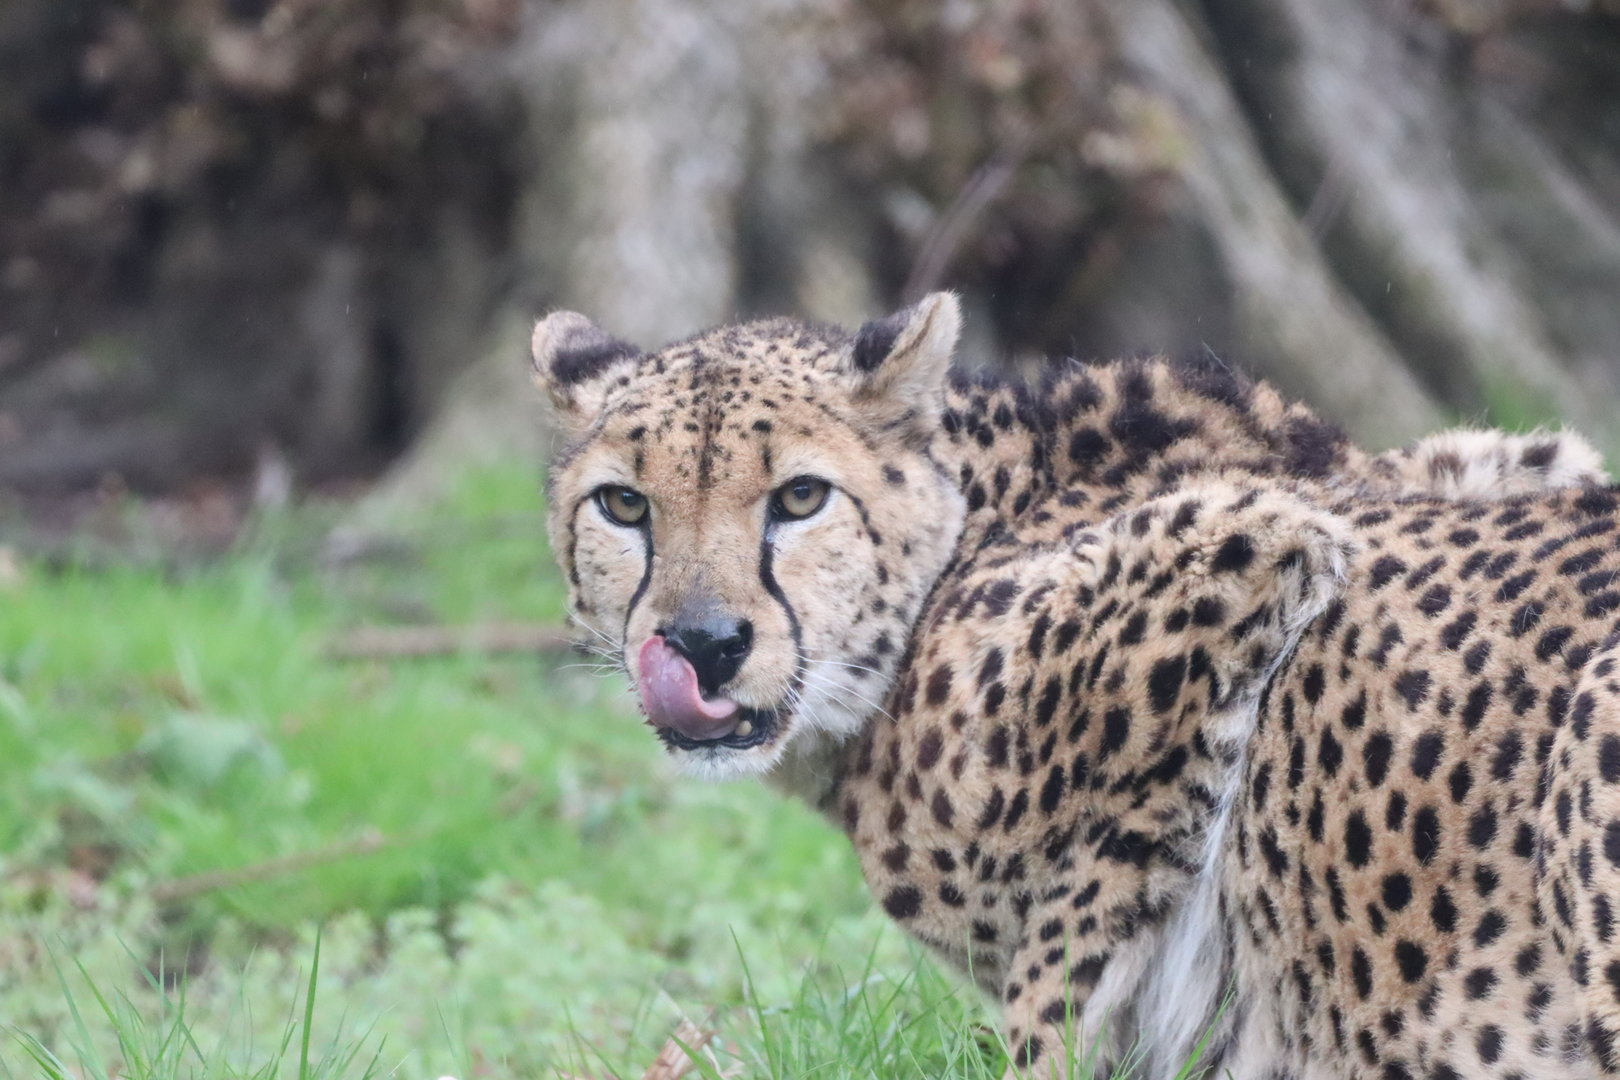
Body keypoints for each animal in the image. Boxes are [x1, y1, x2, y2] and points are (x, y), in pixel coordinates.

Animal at [531, 291, 1619, 1079]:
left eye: (800, 496)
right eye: (624, 505)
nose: (703, 645)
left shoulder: (1242, 542)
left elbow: (1065, 964)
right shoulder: (1498, 457)